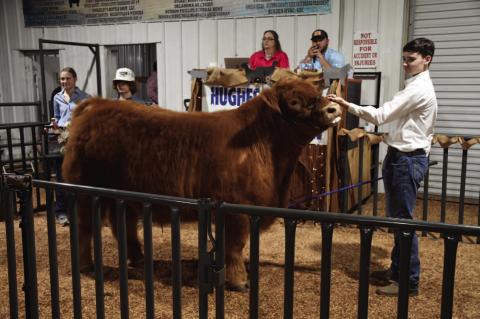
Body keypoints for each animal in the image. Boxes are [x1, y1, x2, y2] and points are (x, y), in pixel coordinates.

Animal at [62, 77, 342, 290]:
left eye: (316, 93)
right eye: (294, 101)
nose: (333, 109)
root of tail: (95, 104)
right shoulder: (236, 211)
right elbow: (234, 246)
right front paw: (239, 281)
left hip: (123, 195)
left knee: (124, 226)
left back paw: (138, 259)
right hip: (84, 191)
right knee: (85, 228)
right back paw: (87, 265)